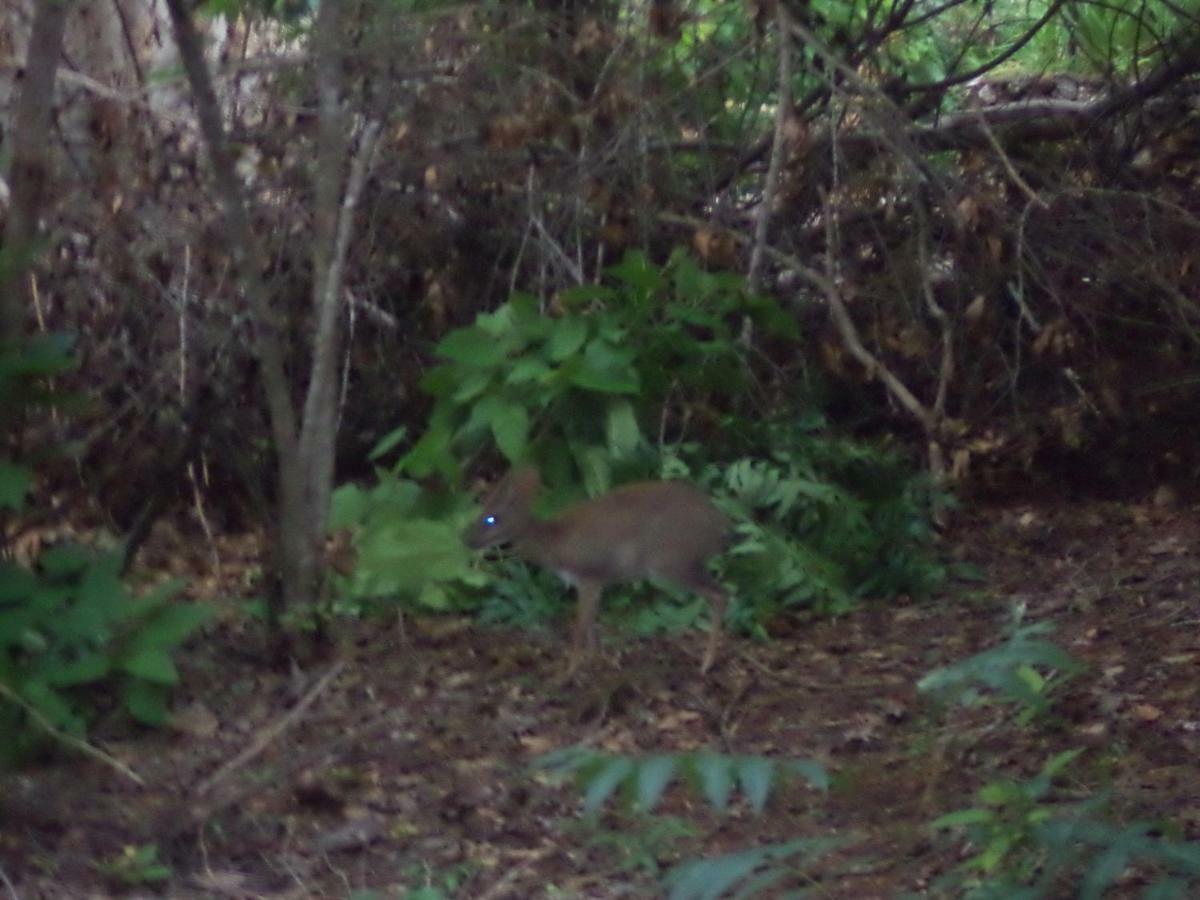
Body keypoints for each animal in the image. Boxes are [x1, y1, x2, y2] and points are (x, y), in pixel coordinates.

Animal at [465, 472, 729, 676]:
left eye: (491, 519)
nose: (467, 540)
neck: (553, 544)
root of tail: (718, 525)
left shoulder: (587, 576)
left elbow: (580, 626)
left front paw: (568, 672)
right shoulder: (596, 582)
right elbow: (592, 624)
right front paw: (595, 663)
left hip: (672, 562)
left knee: (719, 594)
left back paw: (706, 663)